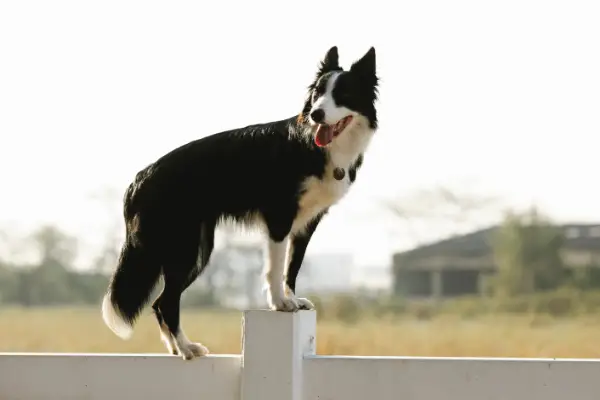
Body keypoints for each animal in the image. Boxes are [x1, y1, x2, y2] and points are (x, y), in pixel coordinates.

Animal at [100, 46, 378, 360]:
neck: (314, 145)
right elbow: (275, 267)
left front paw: (292, 299)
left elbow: (292, 268)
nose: (316, 114)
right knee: (166, 301)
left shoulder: (307, 222)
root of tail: (139, 179)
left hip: (198, 249)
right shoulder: (279, 217)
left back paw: (176, 348)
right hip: (184, 248)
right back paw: (186, 348)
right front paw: (280, 304)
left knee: (161, 301)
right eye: (318, 93)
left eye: (343, 94)